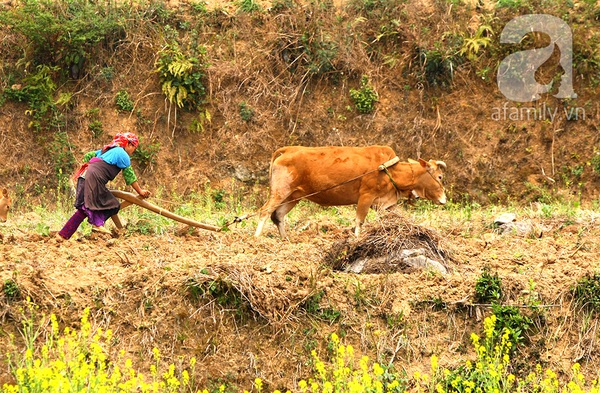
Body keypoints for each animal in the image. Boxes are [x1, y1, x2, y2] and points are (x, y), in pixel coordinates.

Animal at [253, 145, 446, 237]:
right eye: (440, 176)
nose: (444, 199)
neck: (390, 170)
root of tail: (288, 149)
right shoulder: (365, 196)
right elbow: (359, 221)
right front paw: (356, 238)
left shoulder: (386, 202)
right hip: (280, 191)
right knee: (265, 211)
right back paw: (256, 237)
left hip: (294, 196)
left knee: (278, 215)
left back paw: (286, 239)